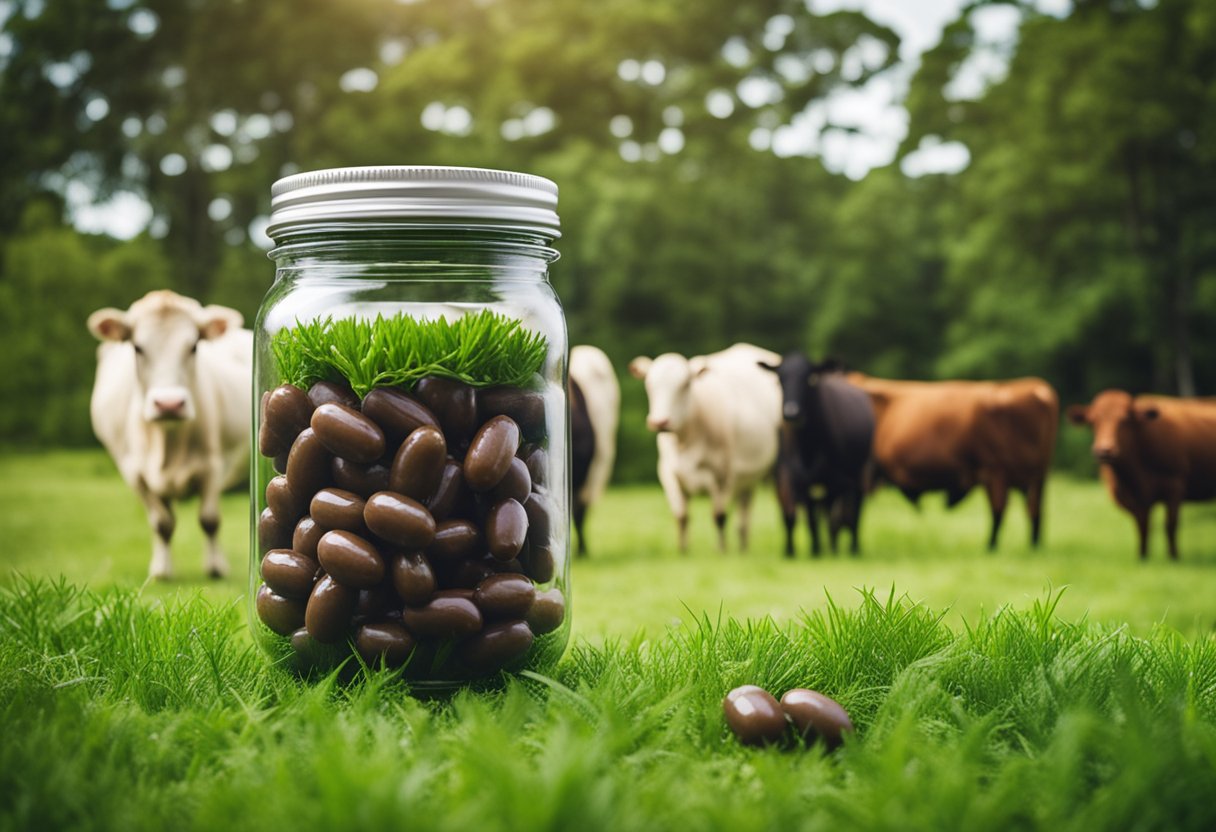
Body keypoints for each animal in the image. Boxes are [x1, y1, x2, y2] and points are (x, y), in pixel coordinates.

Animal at [632, 343, 783, 552]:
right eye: (649, 384)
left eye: (686, 384)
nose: (660, 422)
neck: (686, 440)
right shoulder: (668, 474)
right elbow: (682, 516)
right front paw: (682, 551)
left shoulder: (722, 476)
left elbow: (719, 517)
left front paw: (721, 550)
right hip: (748, 479)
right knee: (744, 513)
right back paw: (743, 548)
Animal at [758, 352, 875, 554]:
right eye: (780, 380)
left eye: (808, 379)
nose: (792, 412)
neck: (808, 447)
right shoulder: (796, 481)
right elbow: (808, 520)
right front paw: (814, 550)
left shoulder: (833, 482)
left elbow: (828, 519)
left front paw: (826, 550)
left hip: (859, 474)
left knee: (854, 513)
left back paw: (852, 548)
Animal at [846, 374, 1055, 549]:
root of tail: (1037, 390)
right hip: (1033, 475)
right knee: (1034, 510)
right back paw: (1031, 546)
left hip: (1001, 472)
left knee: (1003, 509)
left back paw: (992, 546)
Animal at [1065, 389, 1216, 559]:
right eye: (1093, 422)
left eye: (1125, 420)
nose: (1105, 450)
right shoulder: (1132, 499)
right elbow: (1142, 526)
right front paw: (1142, 556)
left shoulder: (1175, 486)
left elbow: (1170, 525)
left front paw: (1174, 557)